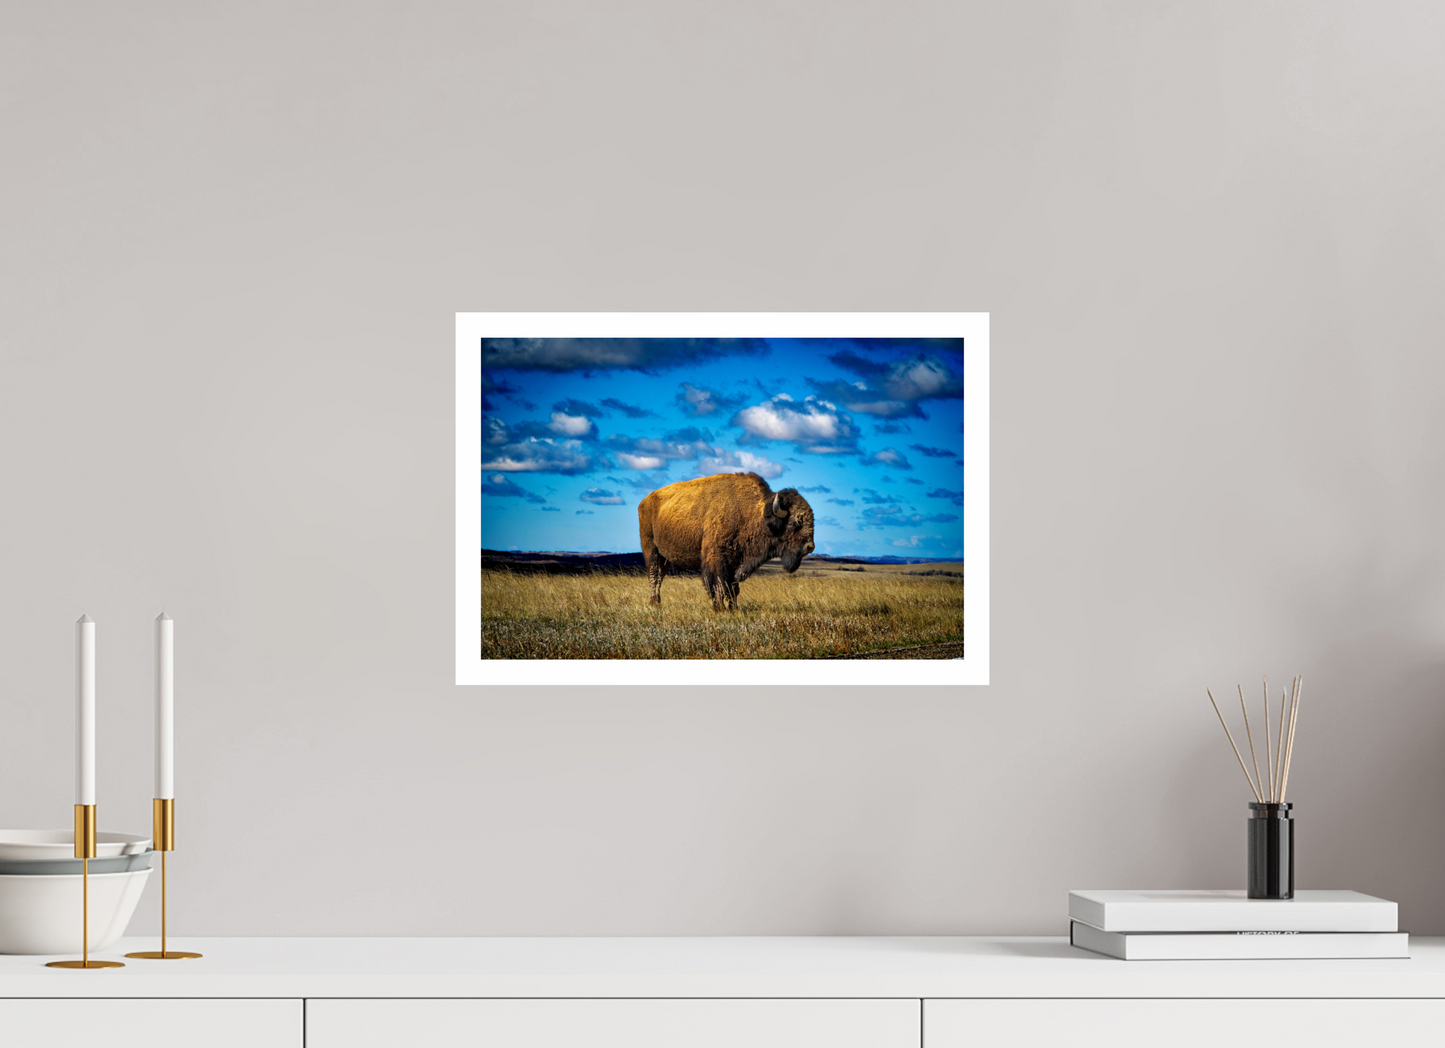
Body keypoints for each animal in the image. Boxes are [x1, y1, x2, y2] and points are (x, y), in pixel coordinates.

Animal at [637, 472, 816, 611]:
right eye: (794, 523)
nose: (810, 547)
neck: (752, 513)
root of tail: (644, 501)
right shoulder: (717, 560)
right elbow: (719, 585)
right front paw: (719, 608)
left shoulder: (736, 563)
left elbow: (732, 587)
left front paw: (733, 608)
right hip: (651, 549)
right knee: (654, 574)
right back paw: (654, 604)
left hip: (664, 557)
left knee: (660, 576)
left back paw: (658, 602)